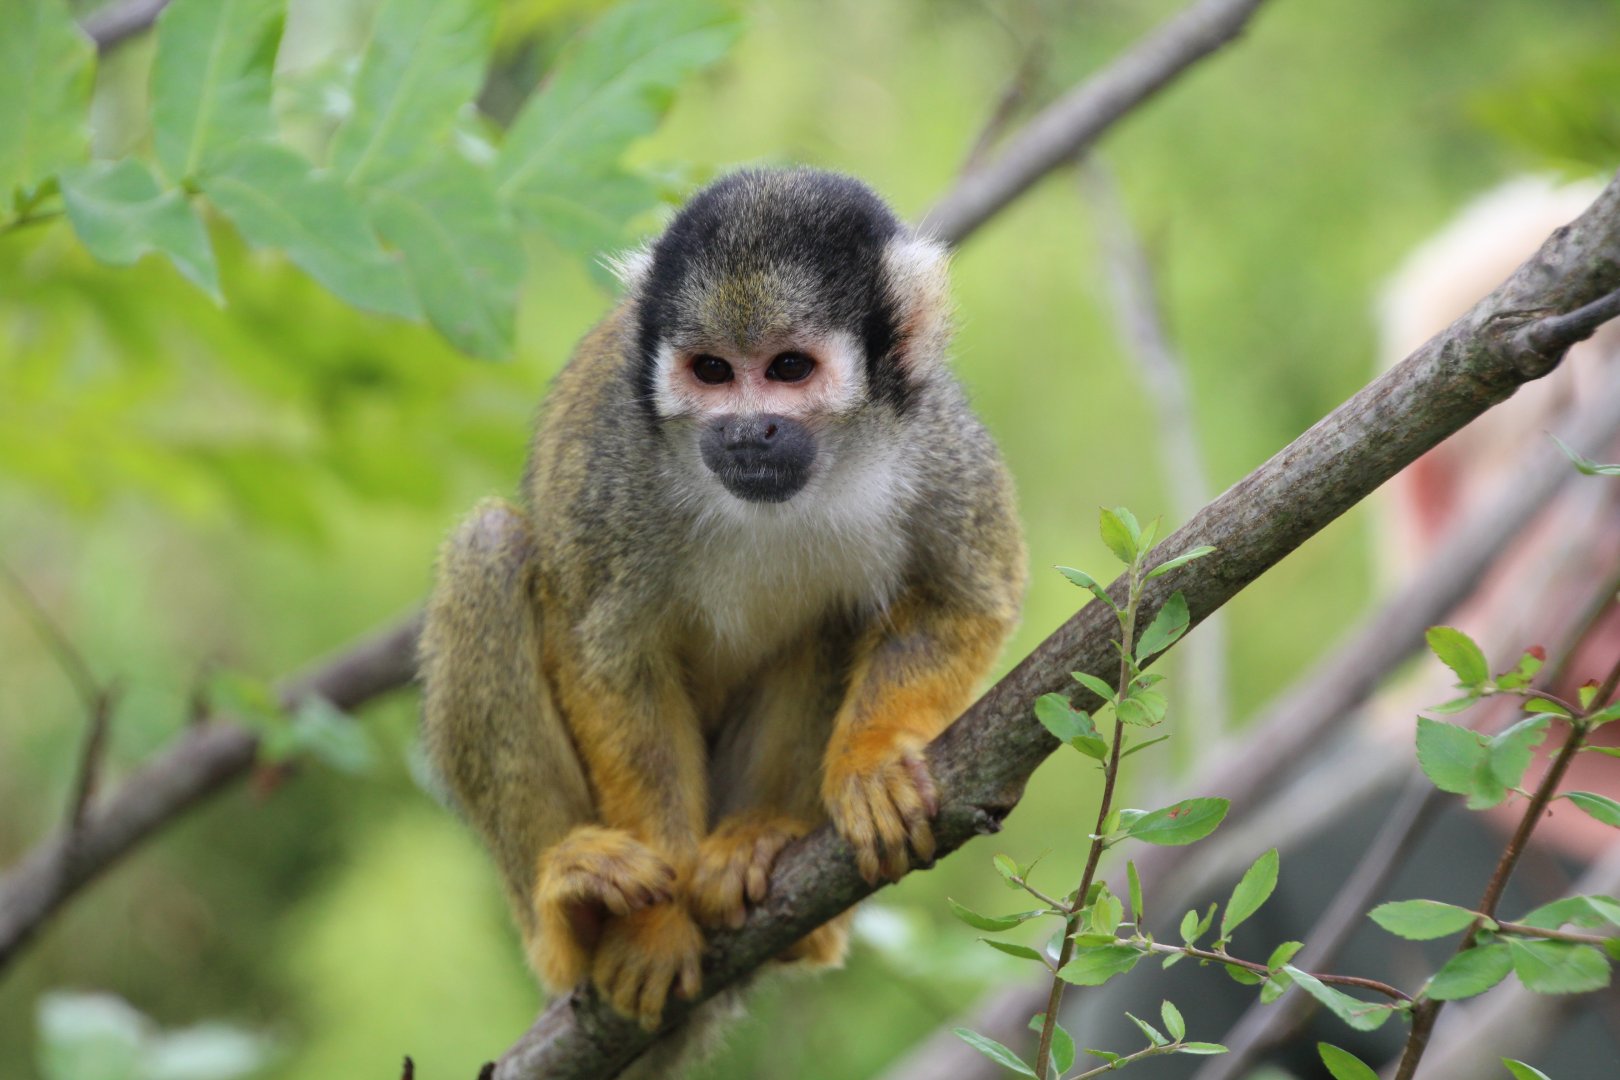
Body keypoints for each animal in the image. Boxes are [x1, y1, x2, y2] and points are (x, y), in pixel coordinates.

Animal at [418, 168, 1026, 1040]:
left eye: (788, 368)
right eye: (711, 371)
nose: (746, 432)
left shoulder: (933, 436)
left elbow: (969, 596)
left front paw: (872, 760)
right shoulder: (615, 456)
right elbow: (608, 652)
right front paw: (652, 927)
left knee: (833, 617)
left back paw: (766, 849)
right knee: (490, 548)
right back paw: (568, 912)